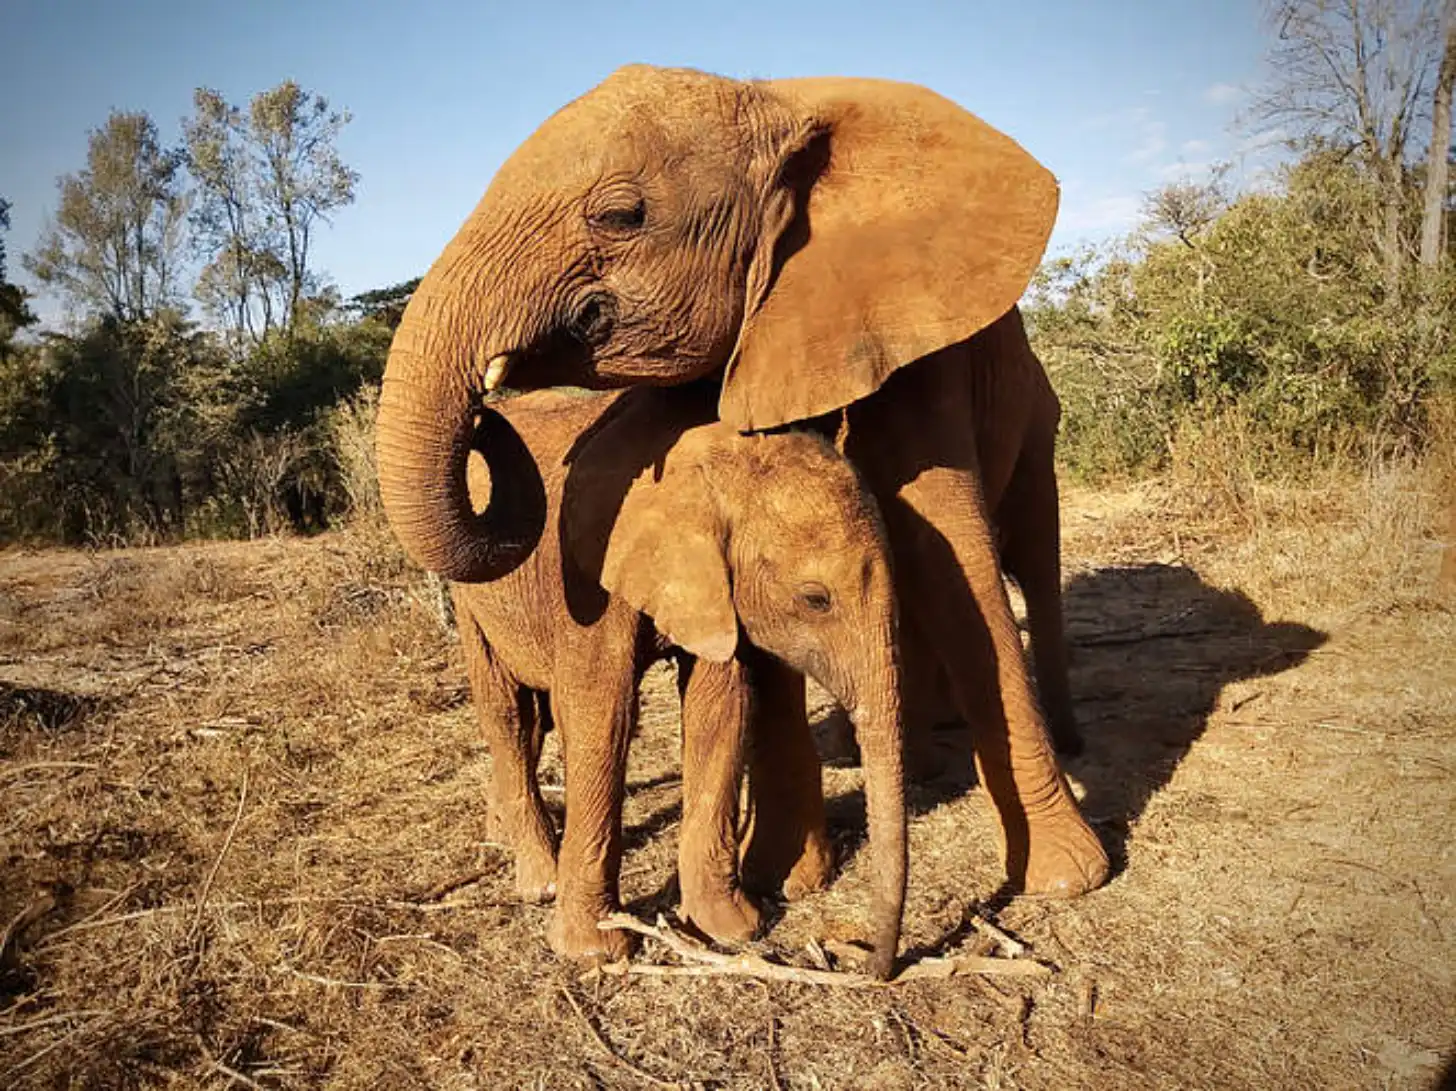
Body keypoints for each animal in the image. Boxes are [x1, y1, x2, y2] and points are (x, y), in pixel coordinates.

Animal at [375, 64, 1109, 901]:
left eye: (620, 216)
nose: (487, 407)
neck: (779, 100)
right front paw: (791, 880)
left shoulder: (912, 337)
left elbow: (950, 555)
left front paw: (1069, 880)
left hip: (1039, 415)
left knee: (1032, 555)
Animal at [442, 380, 906, 977]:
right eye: (815, 599)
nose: (863, 959)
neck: (718, 466)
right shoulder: (589, 575)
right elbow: (603, 715)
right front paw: (595, 952)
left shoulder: (719, 585)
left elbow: (720, 703)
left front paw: (730, 929)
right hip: (467, 593)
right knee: (505, 710)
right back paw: (539, 881)